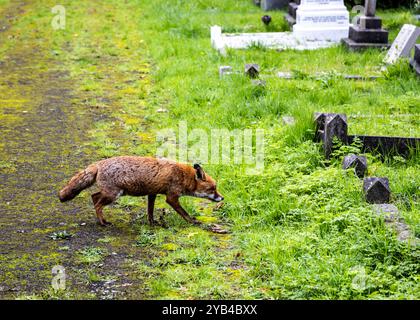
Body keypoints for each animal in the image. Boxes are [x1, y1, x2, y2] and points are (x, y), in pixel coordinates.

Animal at [59, 156, 225, 226]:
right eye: (213, 188)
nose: (222, 198)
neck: (183, 176)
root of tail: (99, 163)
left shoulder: (152, 193)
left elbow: (150, 211)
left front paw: (152, 223)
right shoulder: (171, 197)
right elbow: (184, 212)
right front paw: (192, 222)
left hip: (111, 193)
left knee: (94, 197)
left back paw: (101, 220)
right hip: (113, 195)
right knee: (98, 204)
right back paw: (103, 223)